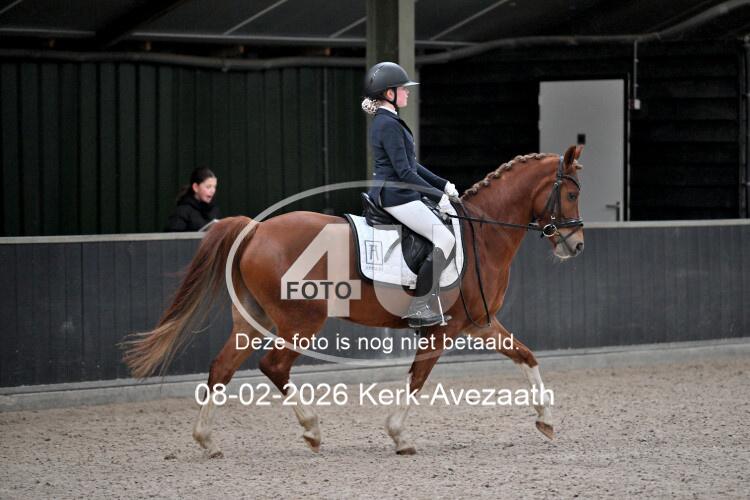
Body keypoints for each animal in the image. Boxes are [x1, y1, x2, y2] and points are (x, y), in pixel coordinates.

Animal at [122, 144, 585, 457]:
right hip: (300, 321)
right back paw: (311, 430)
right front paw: (399, 435)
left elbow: (526, 356)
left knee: (222, 368)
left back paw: (208, 441)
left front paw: (546, 420)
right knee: (274, 366)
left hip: (252, 320)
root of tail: (256, 229)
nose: (576, 245)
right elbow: (417, 379)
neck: (483, 233)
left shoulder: (481, 323)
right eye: (572, 194)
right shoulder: (446, 328)